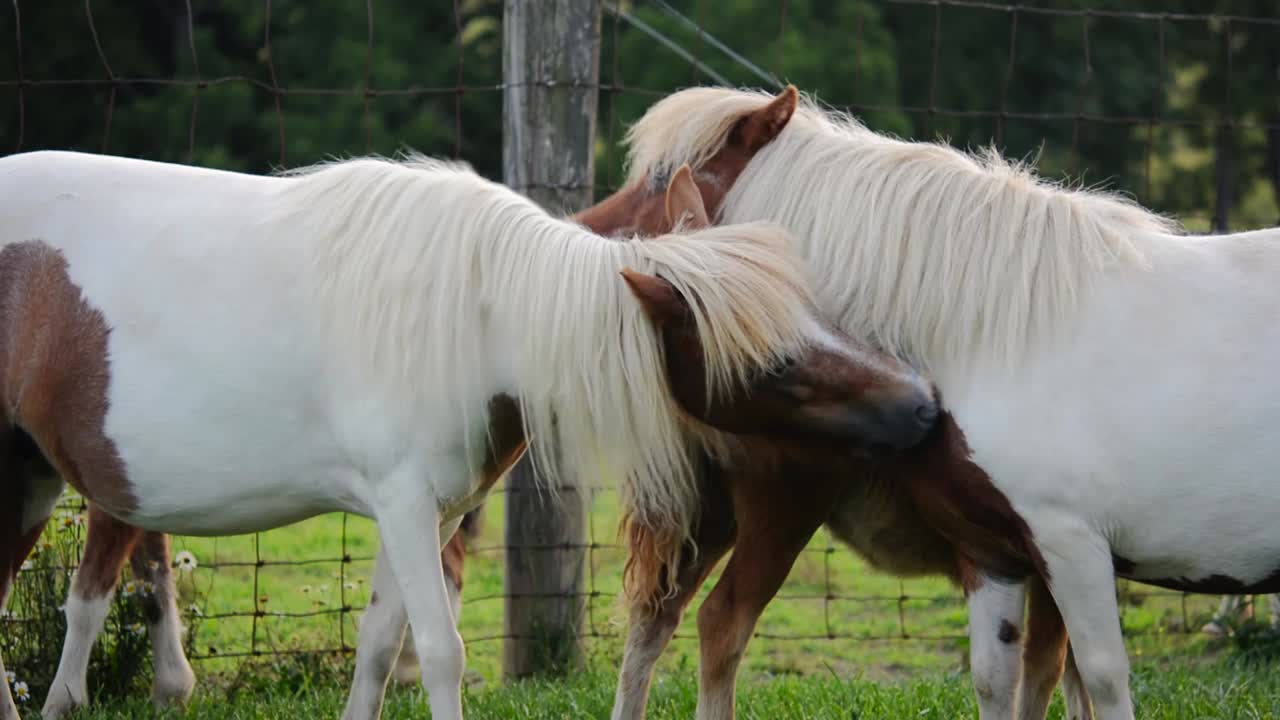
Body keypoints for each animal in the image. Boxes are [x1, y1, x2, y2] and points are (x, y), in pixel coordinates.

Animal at [0, 149, 940, 720]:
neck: (484, 316)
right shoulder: (405, 506)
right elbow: (443, 652)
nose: (924, 406)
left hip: (33, 482)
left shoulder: (427, 513)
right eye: (771, 359)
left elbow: (381, 647)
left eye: (818, 313)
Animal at [593, 83, 1270, 720]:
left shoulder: (1060, 547)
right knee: (693, 622)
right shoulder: (1020, 550)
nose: (591, 241)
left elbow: (1068, 675)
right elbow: (1041, 675)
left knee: (674, 621)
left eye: (660, 180)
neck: (1007, 331)